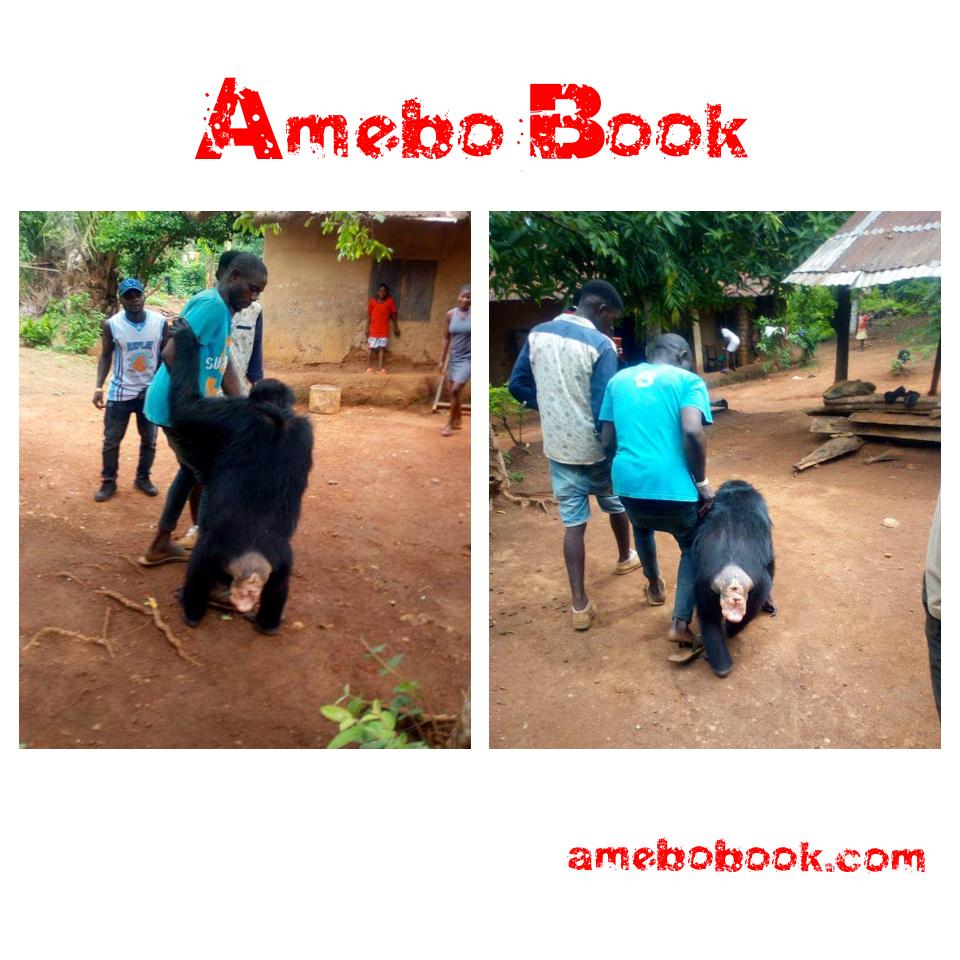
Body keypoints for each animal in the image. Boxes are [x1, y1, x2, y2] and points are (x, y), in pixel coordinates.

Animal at [167, 326, 314, 632]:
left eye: (250, 592)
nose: (247, 599)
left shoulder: (210, 549)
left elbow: (188, 407)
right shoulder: (284, 561)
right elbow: (279, 588)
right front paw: (268, 624)